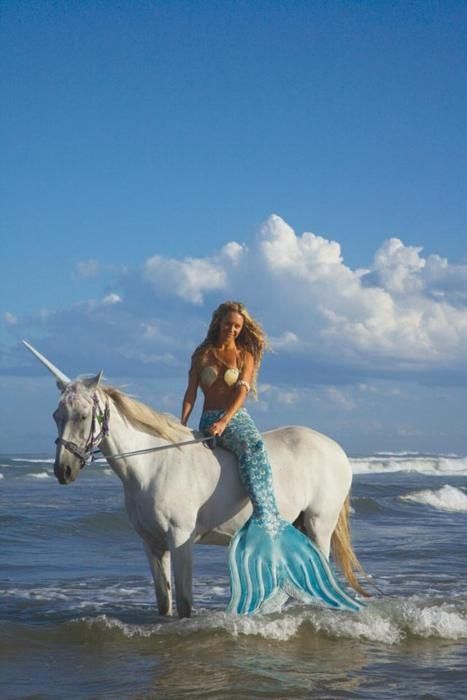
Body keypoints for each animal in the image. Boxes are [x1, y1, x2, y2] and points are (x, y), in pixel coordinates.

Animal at [23, 341, 365, 618]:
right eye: (56, 416)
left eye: (83, 416)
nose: (63, 471)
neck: (151, 466)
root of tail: (335, 448)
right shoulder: (152, 545)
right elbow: (164, 603)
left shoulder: (181, 540)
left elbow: (185, 605)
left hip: (320, 524)